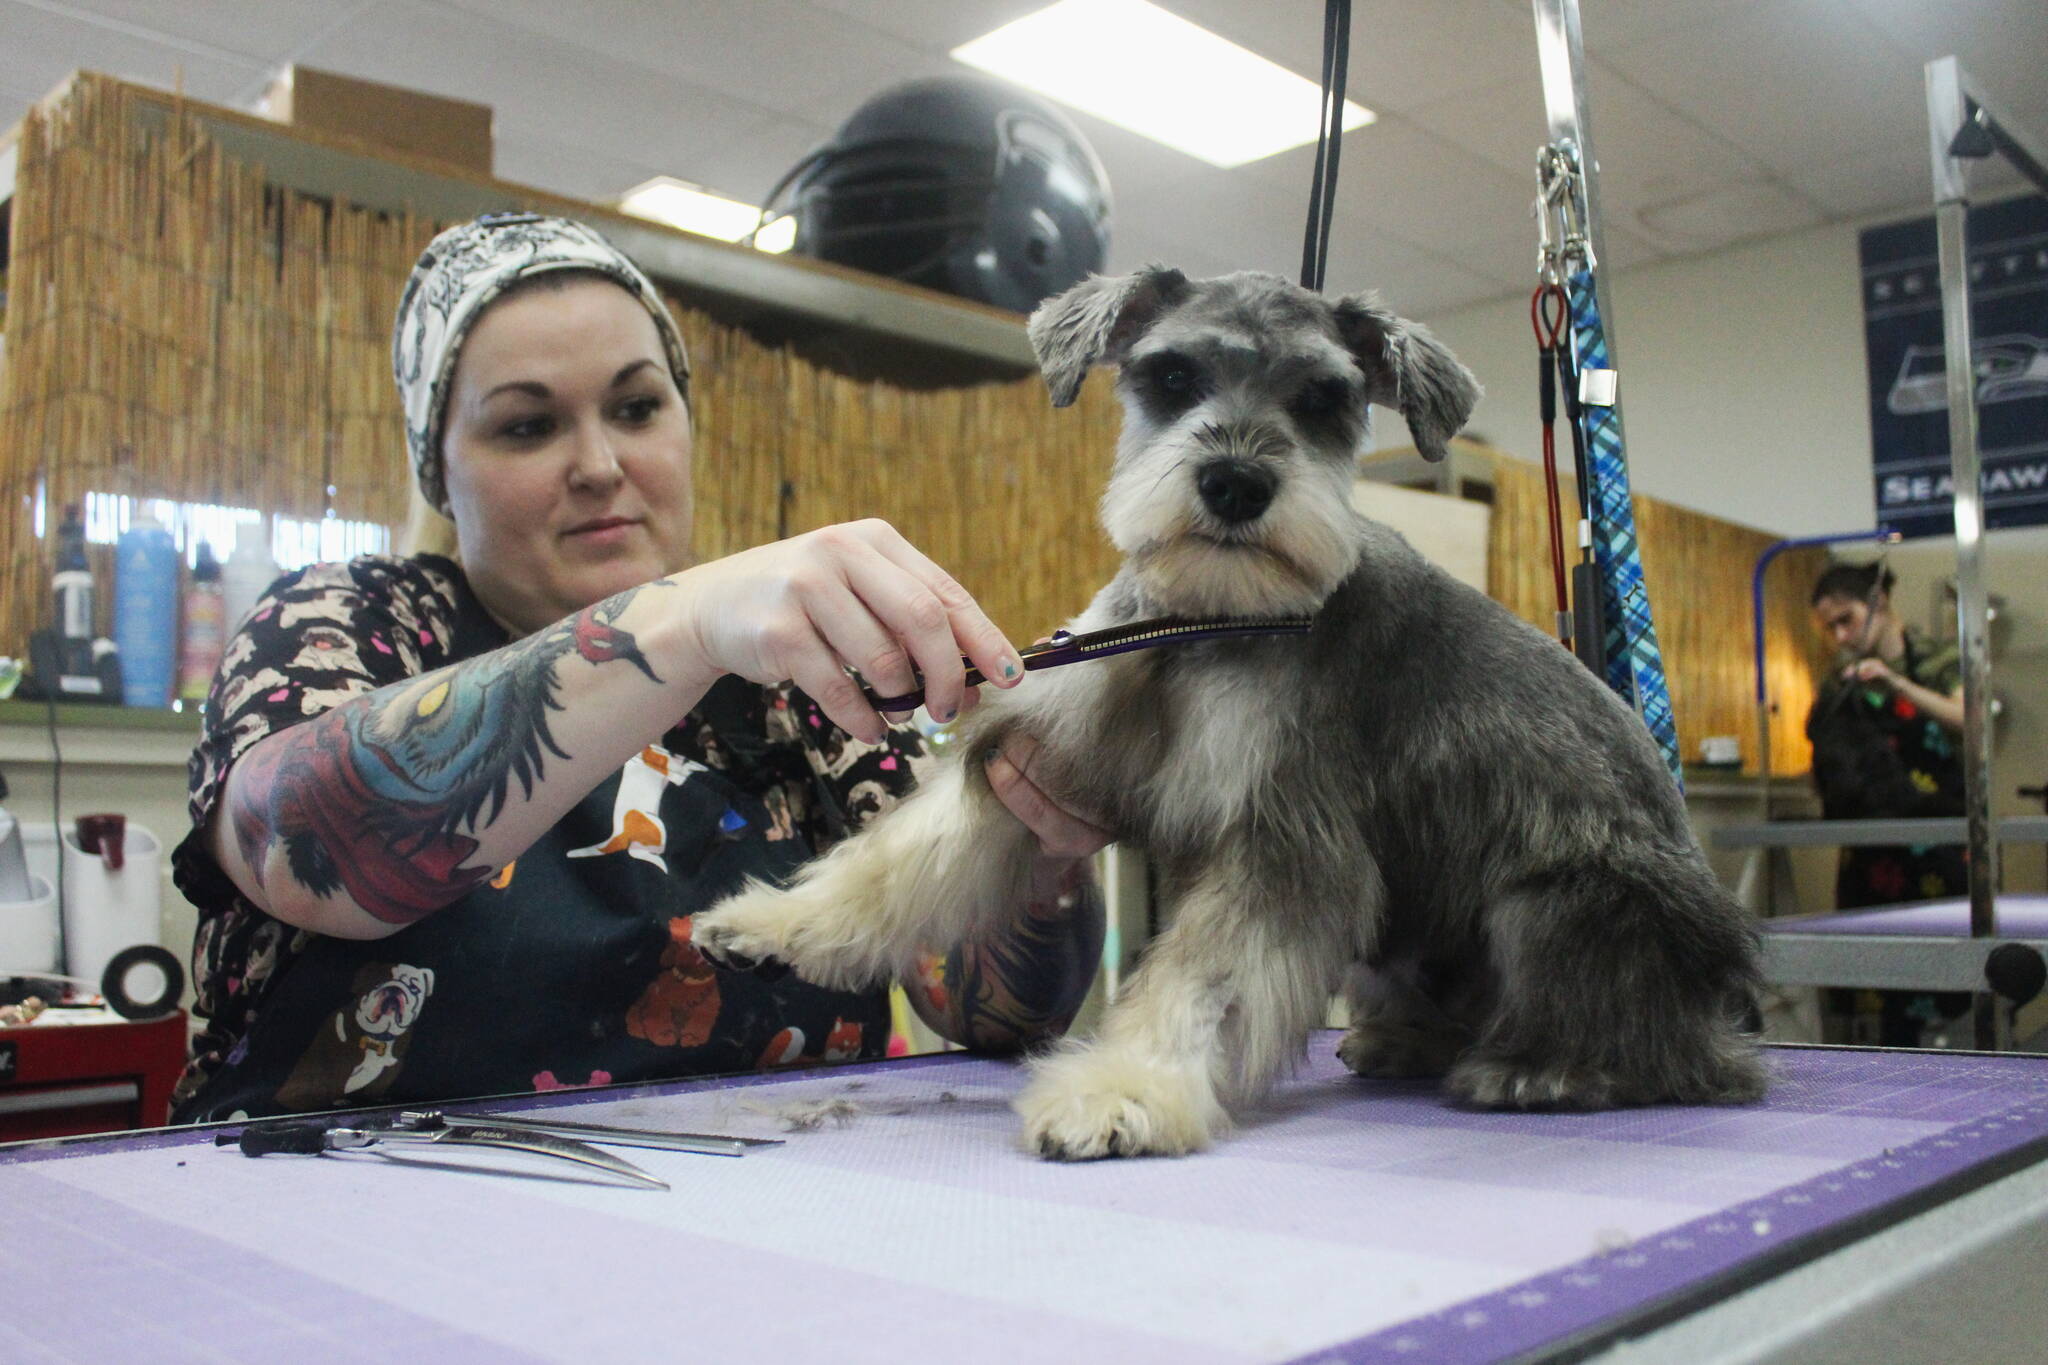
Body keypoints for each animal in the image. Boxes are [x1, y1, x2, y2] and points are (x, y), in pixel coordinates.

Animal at [696, 270, 1769, 1162]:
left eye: (1326, 399)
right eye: (1172, 374)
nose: (1237, 482)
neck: (1202, 615)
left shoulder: (1282, 835)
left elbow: (1199, 974)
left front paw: (1122, 1091)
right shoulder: (1035, 755)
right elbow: (898, 857)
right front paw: (773, 921)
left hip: (1562, 904)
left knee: (1666, 1043)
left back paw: (1546, 1066)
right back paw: (1405, 1036)